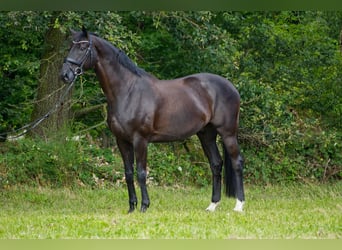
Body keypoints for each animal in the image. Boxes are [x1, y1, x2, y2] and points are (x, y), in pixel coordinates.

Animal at [60, 29, 244, 213]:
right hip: (206, 134)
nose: (65, 75)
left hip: (227, 133)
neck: (128, 91)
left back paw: (239, 205)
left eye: (83, 47)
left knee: (237, 162)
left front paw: (144, 206)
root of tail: (231, 87)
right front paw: (131, 207)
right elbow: (128, 173)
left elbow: (141, 173)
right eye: (69, 46)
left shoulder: (140, 140)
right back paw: (212, 205)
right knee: (216, 164)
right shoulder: (122, 141)